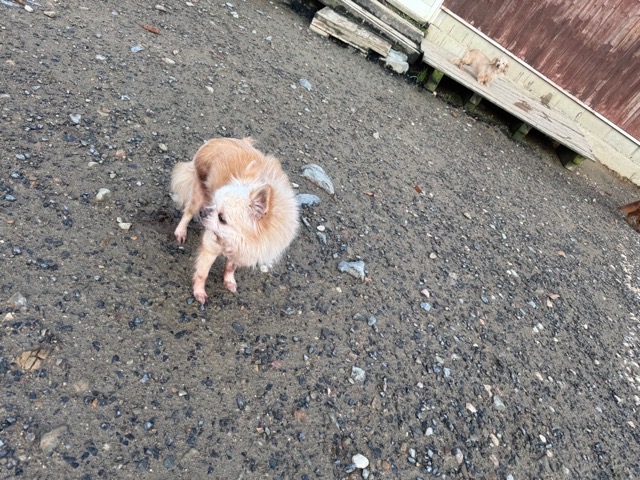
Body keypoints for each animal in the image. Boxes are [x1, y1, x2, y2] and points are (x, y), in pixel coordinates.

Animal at [171, 137, 300, 303]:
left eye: (222, 218)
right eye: (214, 203)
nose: (203, 211)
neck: (235, 239)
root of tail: (215, 140)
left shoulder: (243, 251)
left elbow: (230, 267)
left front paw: (228, 280)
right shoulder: (211, 244)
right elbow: (202, 273)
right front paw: (199, 291)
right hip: (199, 195)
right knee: (187, 213)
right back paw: (181, 231)